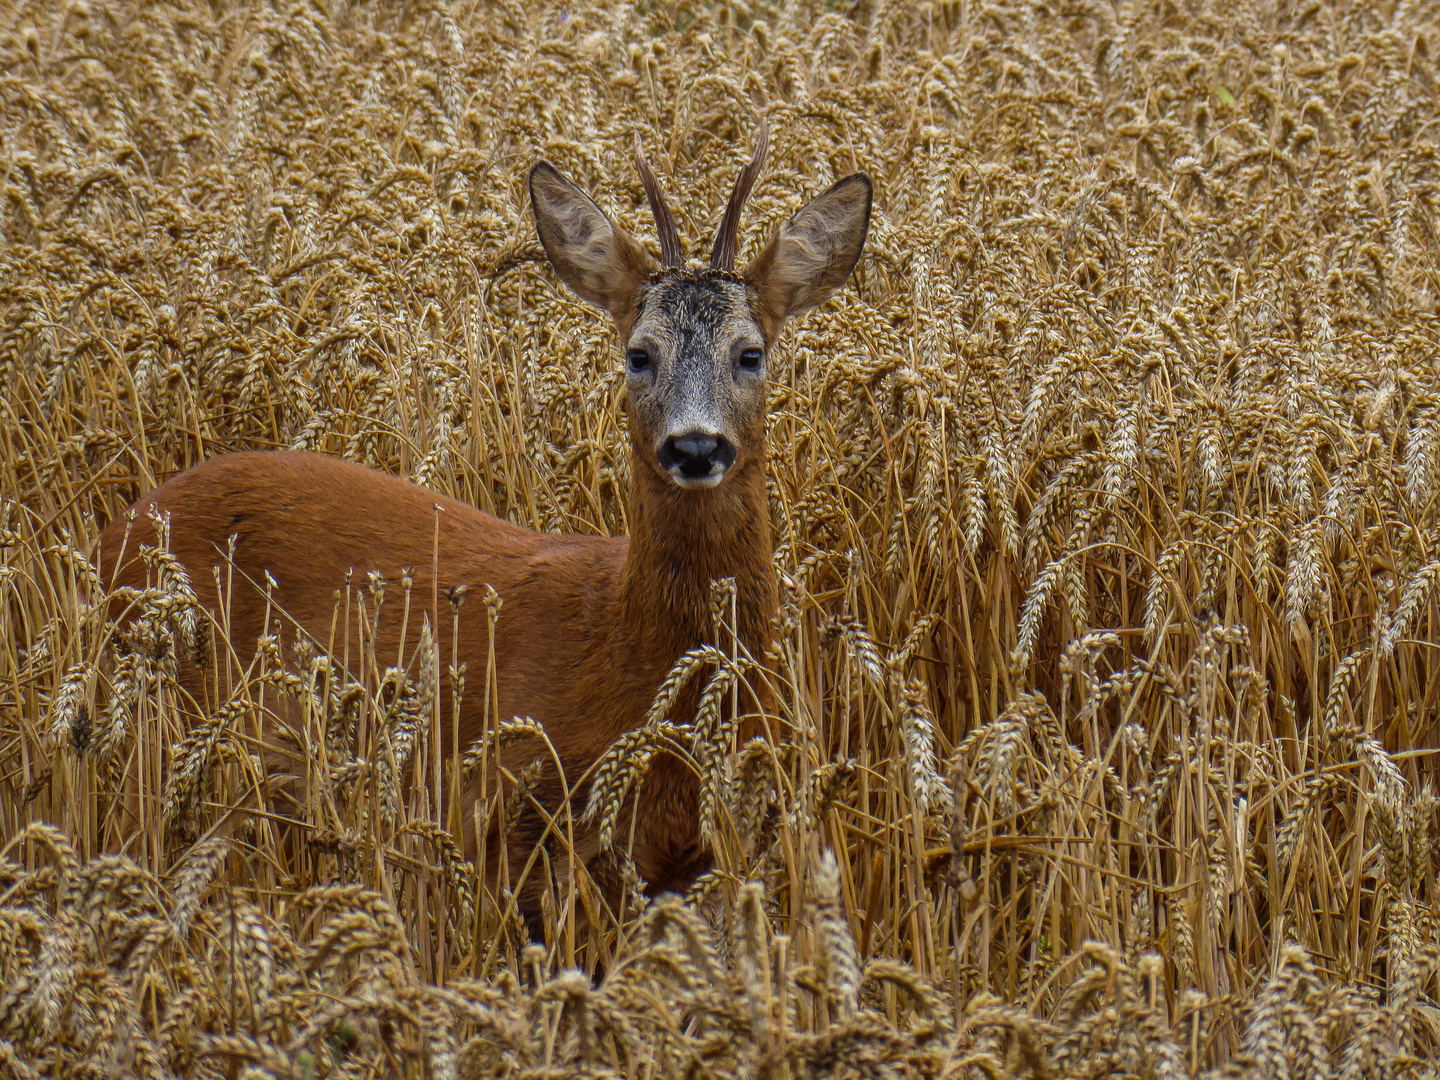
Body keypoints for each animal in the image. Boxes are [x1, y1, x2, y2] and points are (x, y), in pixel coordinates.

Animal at [95, 126, 869, 933]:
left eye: (750, 353)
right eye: (639, 353)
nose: (694, 447)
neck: (630, 648)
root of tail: (119, 525)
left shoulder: (697, 849)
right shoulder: (506, 810)